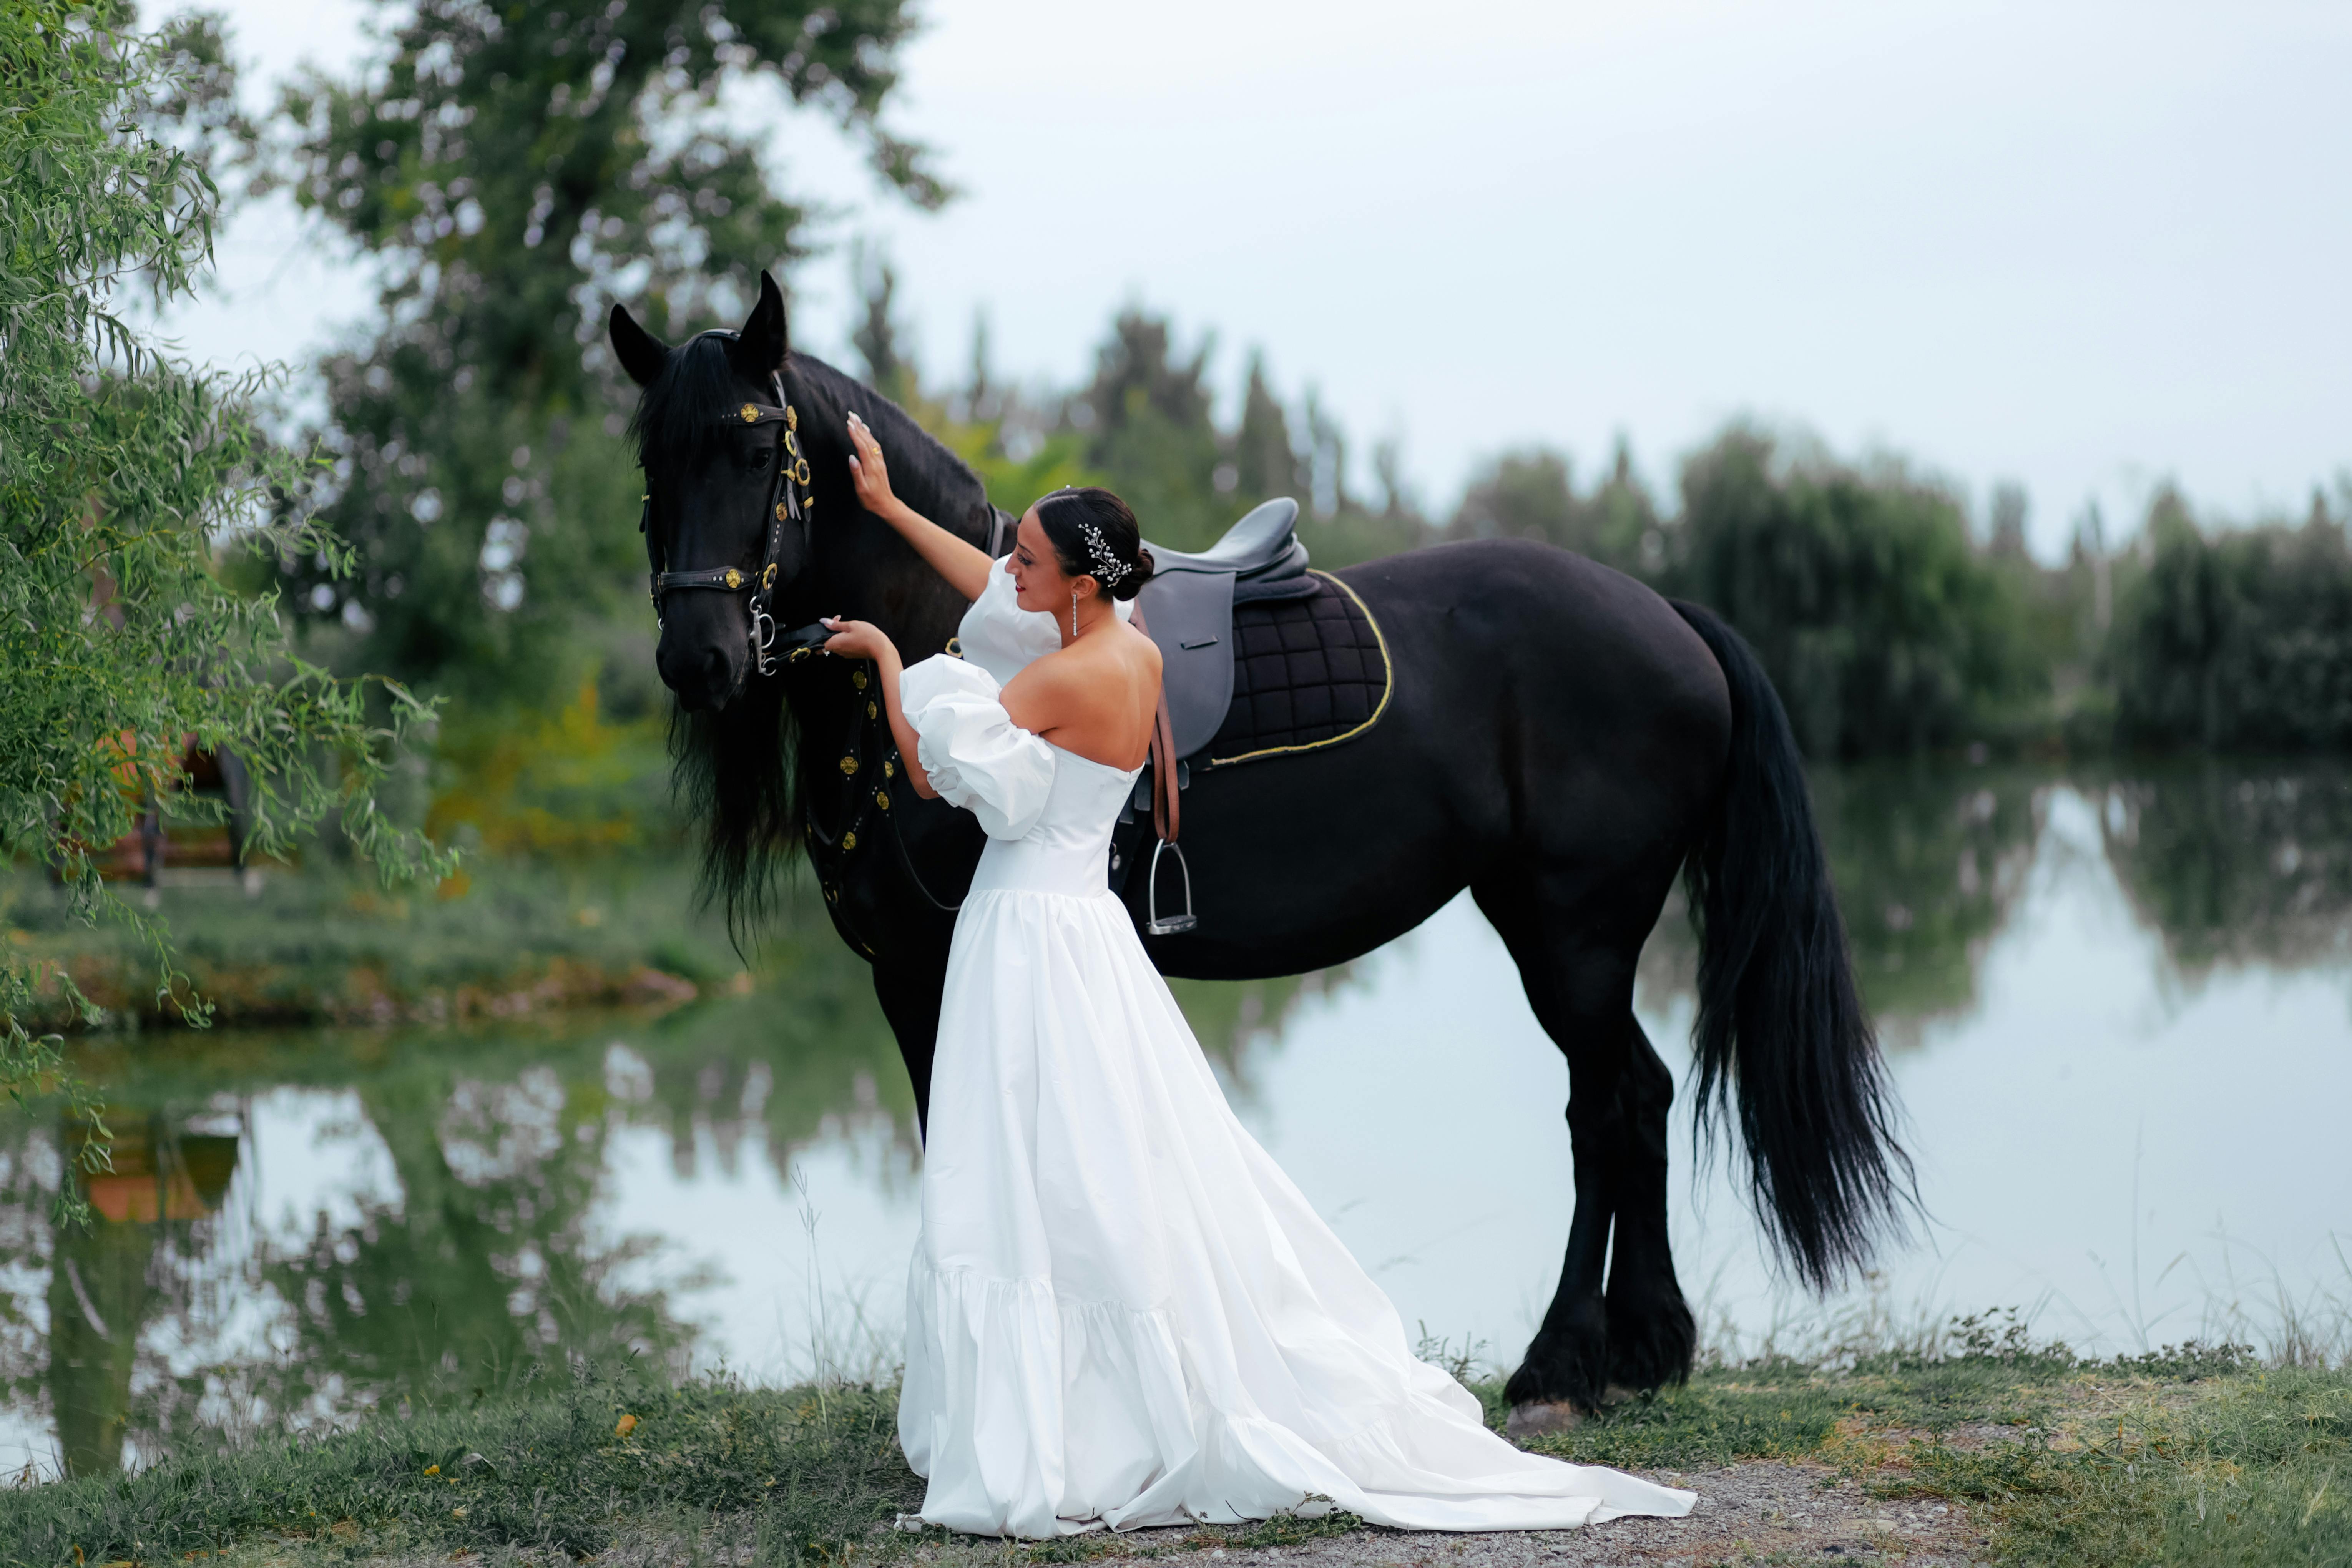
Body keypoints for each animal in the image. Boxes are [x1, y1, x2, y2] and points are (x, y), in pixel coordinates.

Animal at [611, 278, 1910, 1420]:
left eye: (753, 452)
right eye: (651, 463)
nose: (696, 658)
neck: (953, 642)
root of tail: (1668, 616)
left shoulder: (934, 967)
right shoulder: (904, 977)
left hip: (1572, 934)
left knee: (1610, 1106)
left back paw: (1563, 1366)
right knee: (1637, 1101)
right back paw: (1644, 1351)